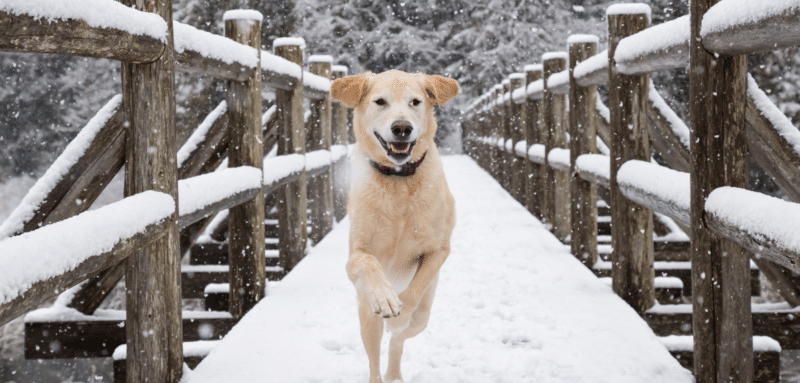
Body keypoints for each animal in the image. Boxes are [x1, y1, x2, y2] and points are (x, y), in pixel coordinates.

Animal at [330, 70, 456, 383]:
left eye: (415, 102)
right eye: (380, 102)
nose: (402, 128)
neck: (399, 180)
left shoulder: (439, 250)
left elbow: (414, 289)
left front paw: (399, 310)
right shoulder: (355, 255)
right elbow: (368, 263)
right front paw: (386, 297)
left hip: (424, 315)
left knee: (399, 339)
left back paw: (395, 367)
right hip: (365, 315)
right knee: (374, 358)